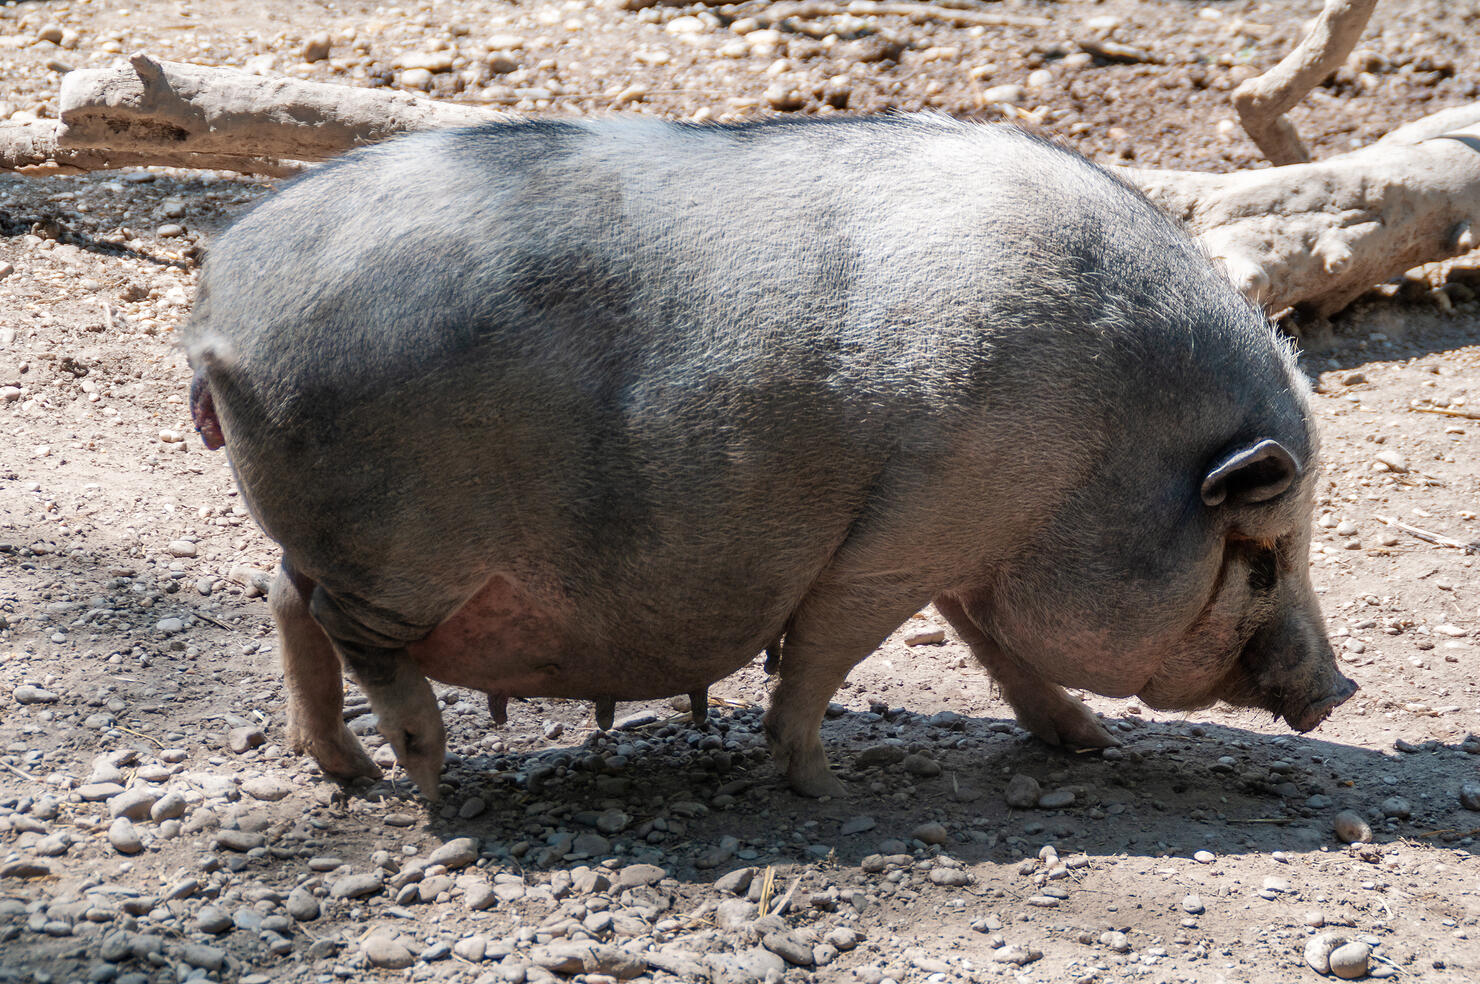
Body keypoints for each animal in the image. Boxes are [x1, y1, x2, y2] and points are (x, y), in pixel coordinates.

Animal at [182, 115, 1355, 799]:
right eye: (1260, 555)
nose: (1338, 690)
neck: (1102, 453)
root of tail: (221, 302)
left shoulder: (960, 542)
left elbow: (1000, 651)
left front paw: (1089, 748)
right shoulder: (903, 541)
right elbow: (827, 654)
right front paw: (818, 790)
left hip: (347, 543)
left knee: (282, 597)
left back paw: (344, 772)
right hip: (403, 556)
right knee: (342, 625)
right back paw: (423, 775)